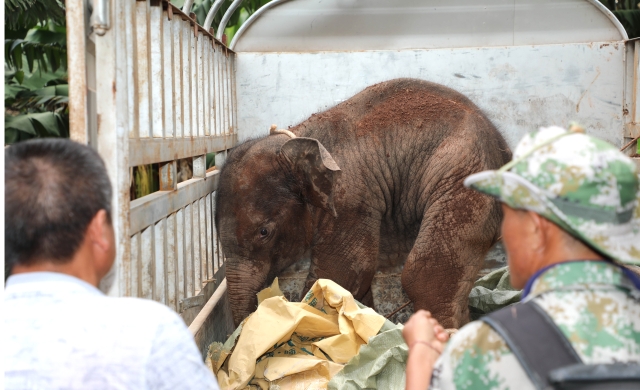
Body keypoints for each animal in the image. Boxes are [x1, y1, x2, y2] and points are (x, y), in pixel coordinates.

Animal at [215, 77, 510, 328]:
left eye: (264, 232)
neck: (299, 141)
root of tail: (503, 146)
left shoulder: (350, 198)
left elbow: (339, 273)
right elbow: (354, 282)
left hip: (465, 179)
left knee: (423, 274)